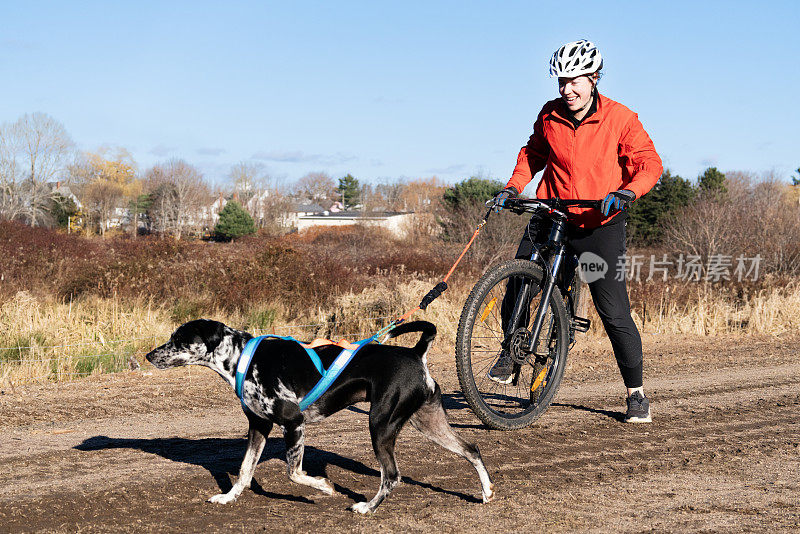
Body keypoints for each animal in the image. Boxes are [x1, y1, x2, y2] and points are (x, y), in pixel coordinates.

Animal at [145, 322, 494, 516]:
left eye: (178, 339)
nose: (149, 355)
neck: (243, 358)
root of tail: (415, 353)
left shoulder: (293, 423)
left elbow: (294, 474)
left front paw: (325, 487)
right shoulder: (259, 426)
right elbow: (244, 471)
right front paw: (229, 498)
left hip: (380, 426)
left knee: (392, 476)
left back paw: (366, 507)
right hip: (428, 423)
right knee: (472, 449)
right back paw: (487, 491)